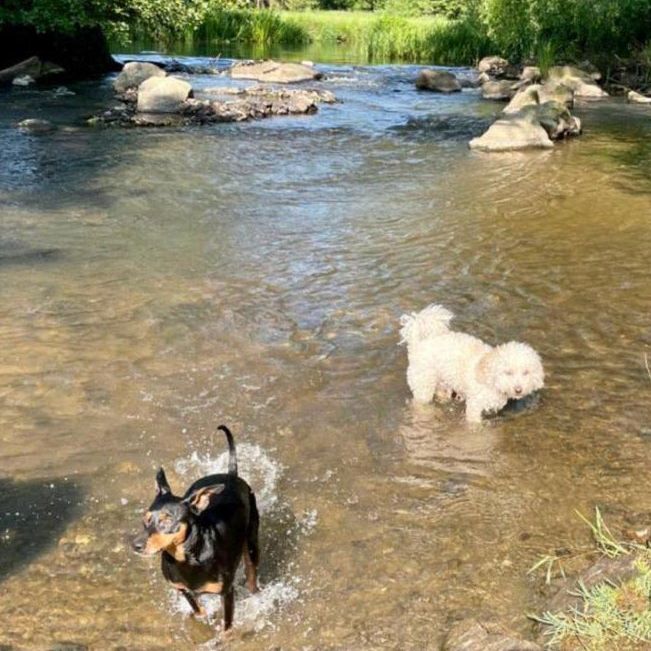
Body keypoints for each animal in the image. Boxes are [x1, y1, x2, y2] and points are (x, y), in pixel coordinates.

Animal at [132, 426, 260, 636]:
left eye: (167, 519)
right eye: (146, 518)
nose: (136, 545)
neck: (187, 559)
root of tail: (231, 475)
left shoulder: (226, 592)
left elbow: (227, 625)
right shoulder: (182, 589)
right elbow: (198, 608)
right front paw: (203, 617)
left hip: (251, 541)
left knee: (252, 574)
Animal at [398, 306, 544, 422]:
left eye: (526, 372)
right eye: (508, 372)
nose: (518, 389)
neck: (490, 377)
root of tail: (418, 345)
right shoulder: (475, 405)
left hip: (442, 382)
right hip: (423, 385)